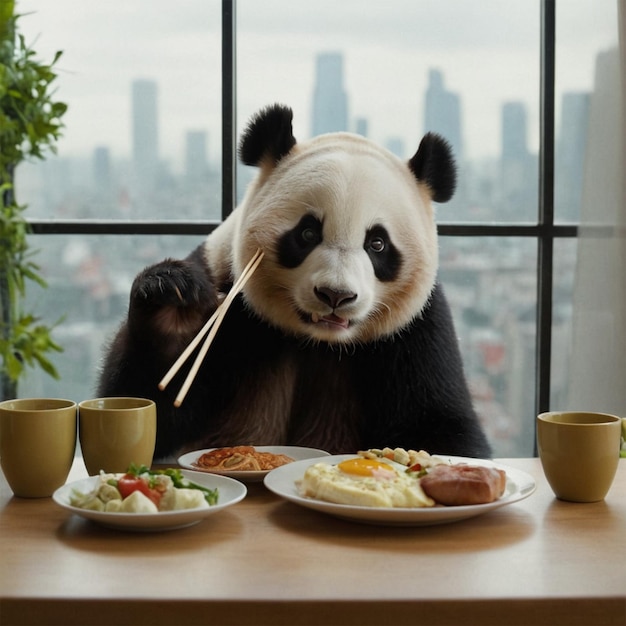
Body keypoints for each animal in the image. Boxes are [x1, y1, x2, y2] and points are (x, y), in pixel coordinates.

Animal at [97, 103, 490, 458]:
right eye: (307, 233)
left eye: (377, 243)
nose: (335, 295)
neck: (317, 342)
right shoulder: (228, 293)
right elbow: (151, 409)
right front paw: (173, 298)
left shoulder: (415, 331)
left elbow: (439, 425)